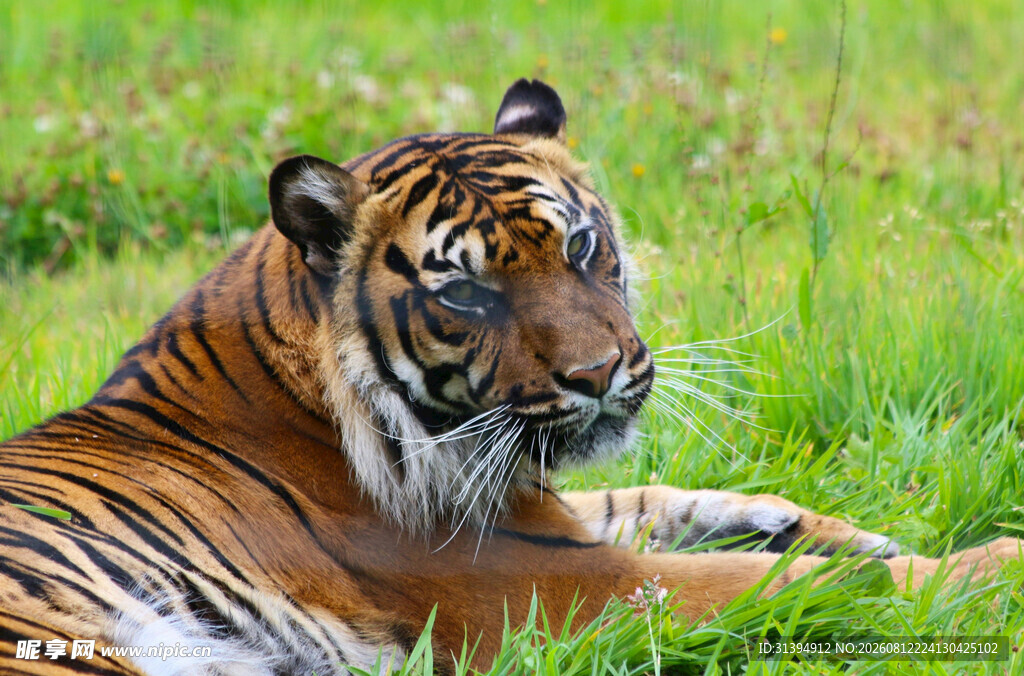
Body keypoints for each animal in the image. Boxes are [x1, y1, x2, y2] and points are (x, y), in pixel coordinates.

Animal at [1, 78, 1018, 675]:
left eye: (581, 245)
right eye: (468, 292)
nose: (599, 374)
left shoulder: (554, 513)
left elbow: (676, 497)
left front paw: (839, 532)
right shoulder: (564, 587)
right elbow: (787, 583)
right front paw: (987, 563)